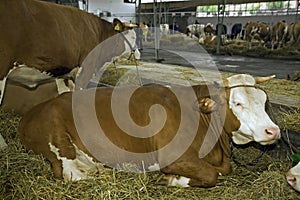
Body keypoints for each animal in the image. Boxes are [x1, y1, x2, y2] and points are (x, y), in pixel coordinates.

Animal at [19, 74, 282, 188]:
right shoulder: (174, 156)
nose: (273, 131)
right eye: (237, 103)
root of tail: (32, 112)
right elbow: (211, 175)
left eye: (264, 101)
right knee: (69, 173)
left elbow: (223, 169)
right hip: (57, 141)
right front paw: (173, 179)